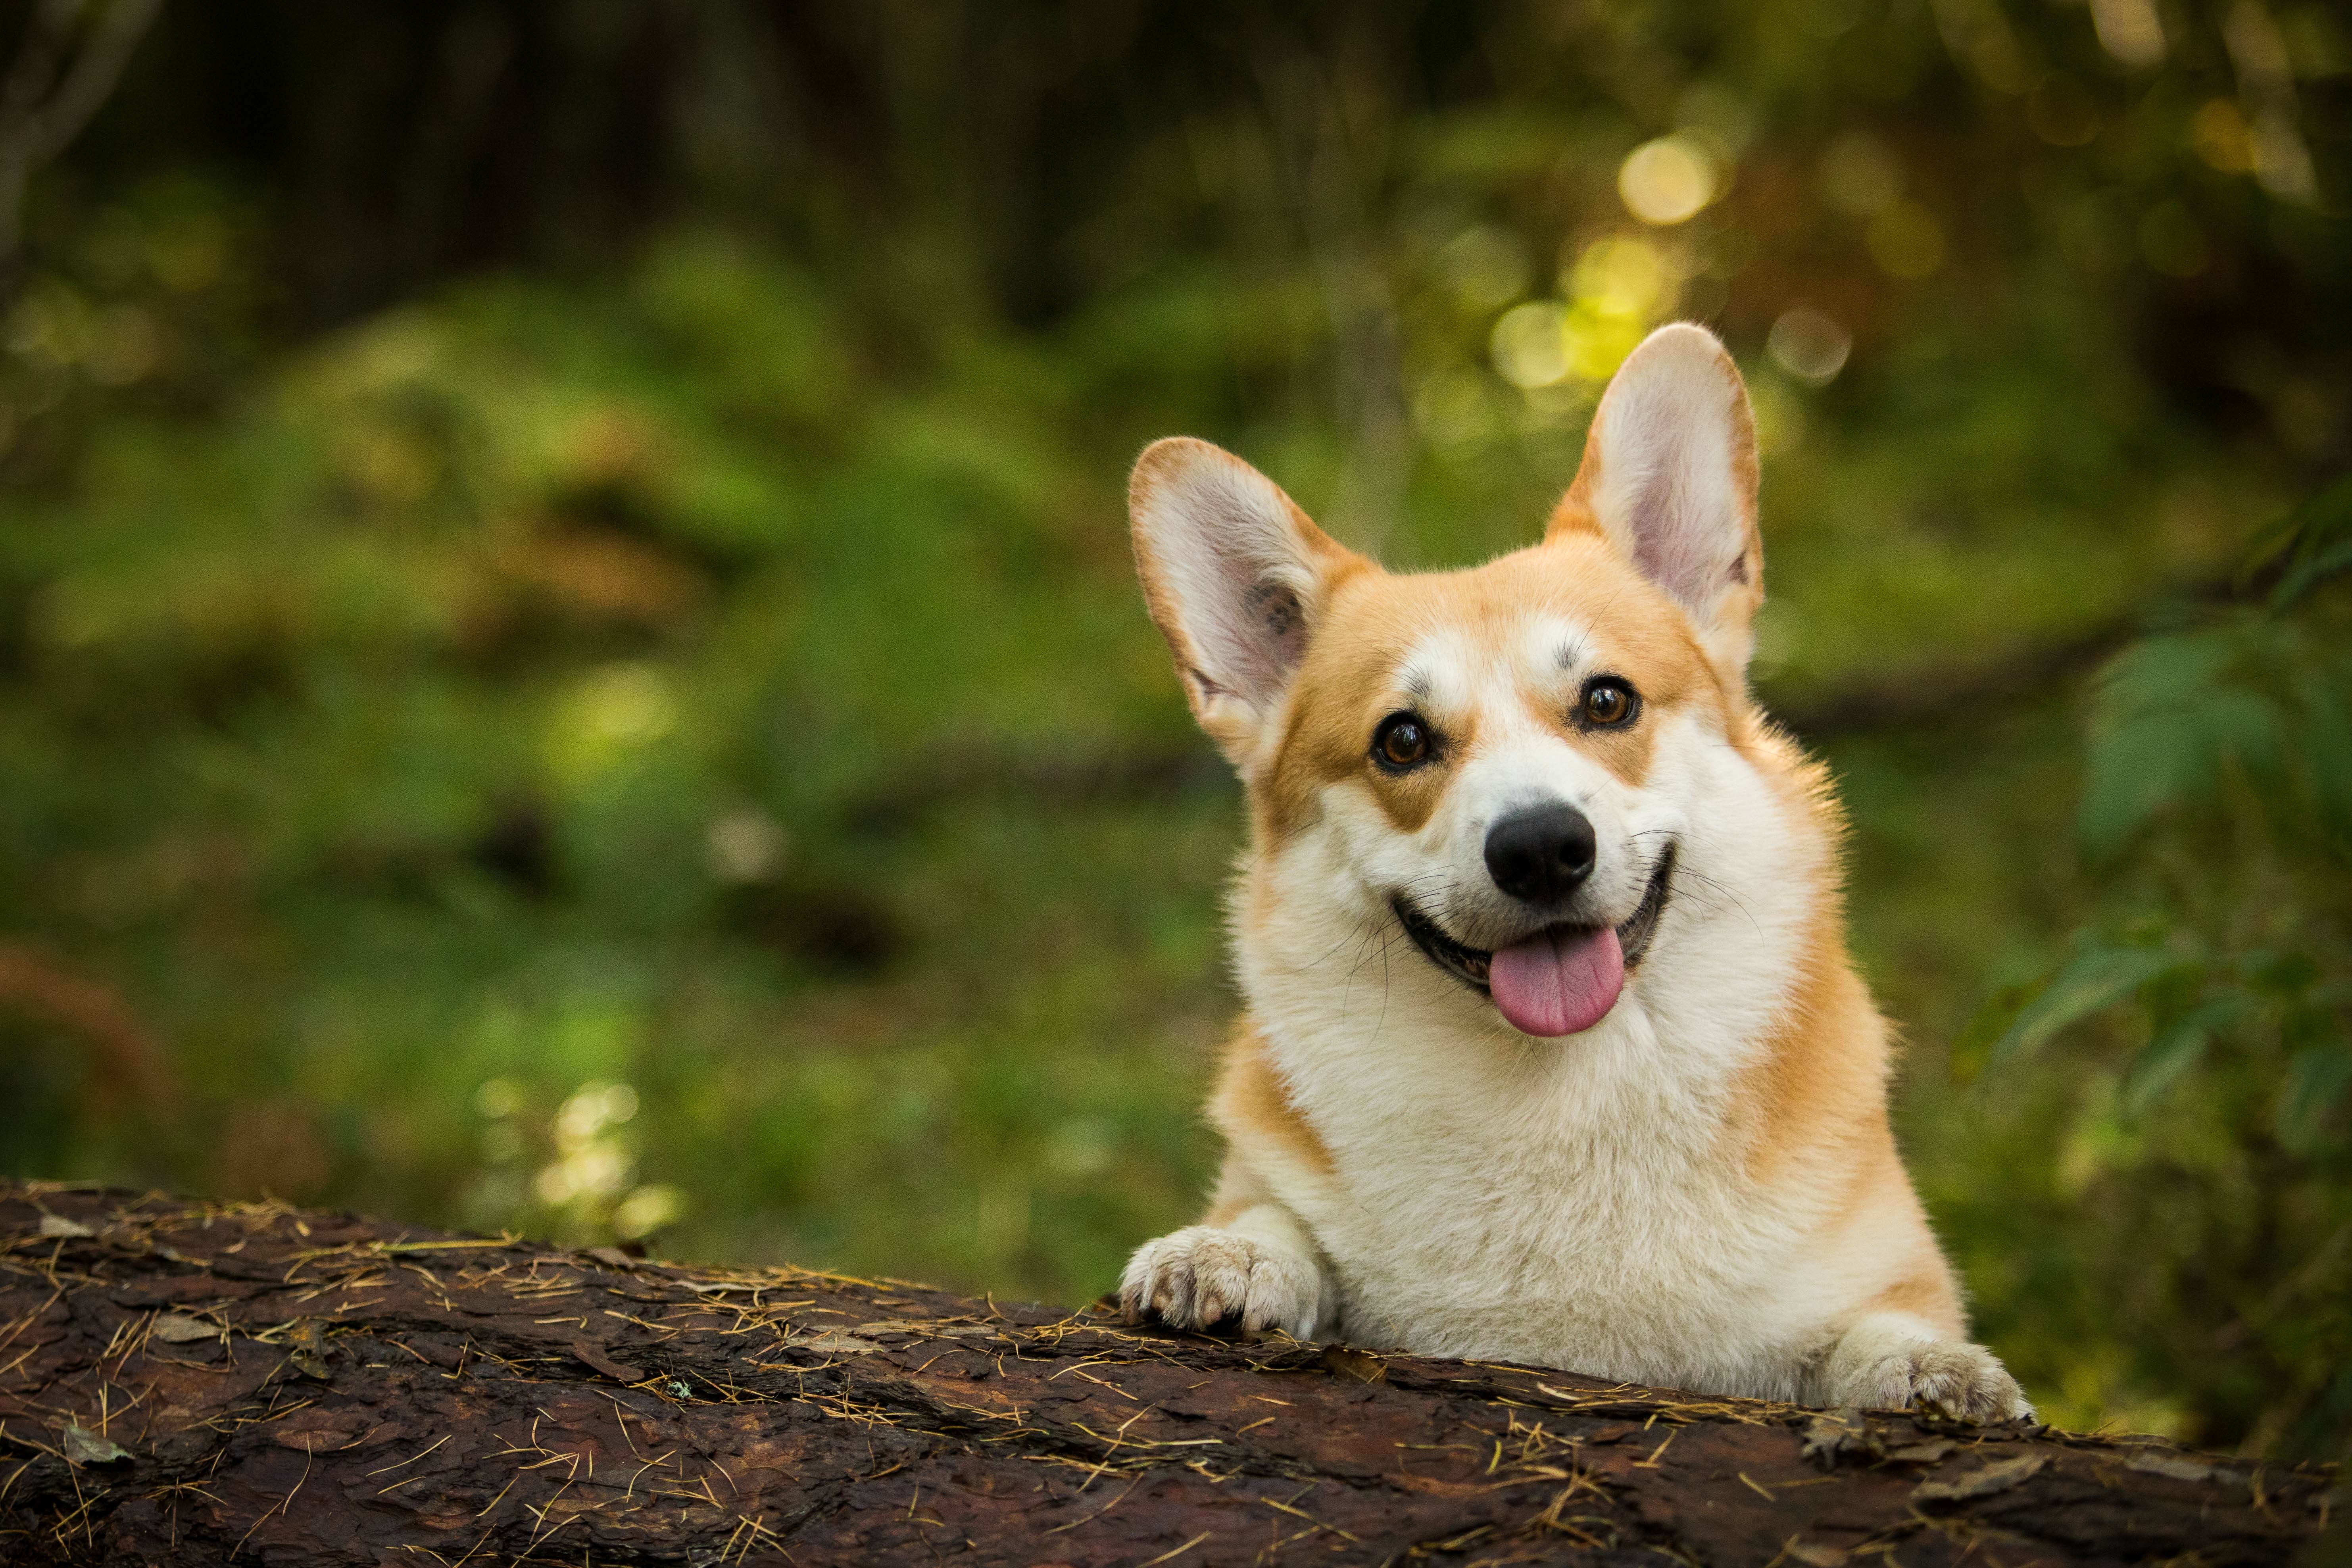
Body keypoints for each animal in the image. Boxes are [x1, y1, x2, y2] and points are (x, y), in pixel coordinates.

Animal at [1115, 322, 2023, 1420]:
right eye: (1401, 740)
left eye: (1606, 700)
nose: (1541, 846)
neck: (1562, 1088)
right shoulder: (1270, 1177)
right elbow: (1274, 1218)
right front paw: (1228, 1255)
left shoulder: (1878, 1272)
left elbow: (1880, 1326)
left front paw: (1932, 1370)